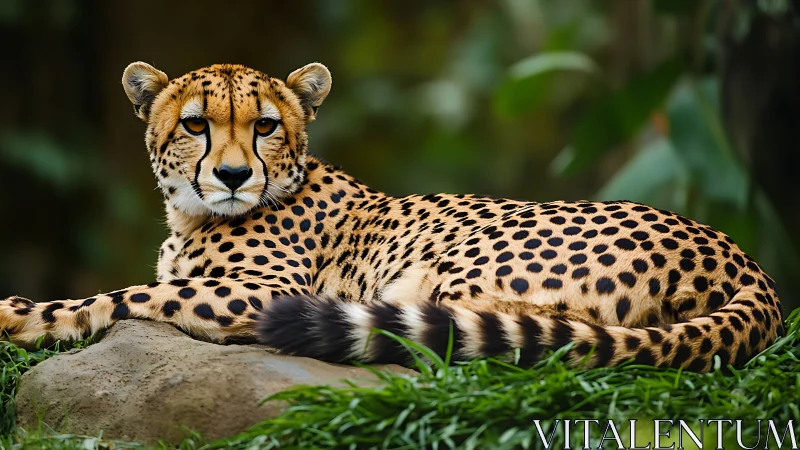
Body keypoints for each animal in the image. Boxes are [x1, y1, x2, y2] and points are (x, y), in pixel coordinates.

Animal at [0, 61, 785, 373]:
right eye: (196, 125)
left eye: (264, 126)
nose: (232, 175)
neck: (192, 216)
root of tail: (747, 263)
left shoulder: (261, 294)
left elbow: (119, 295)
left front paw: (19, 315)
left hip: (467, 262)